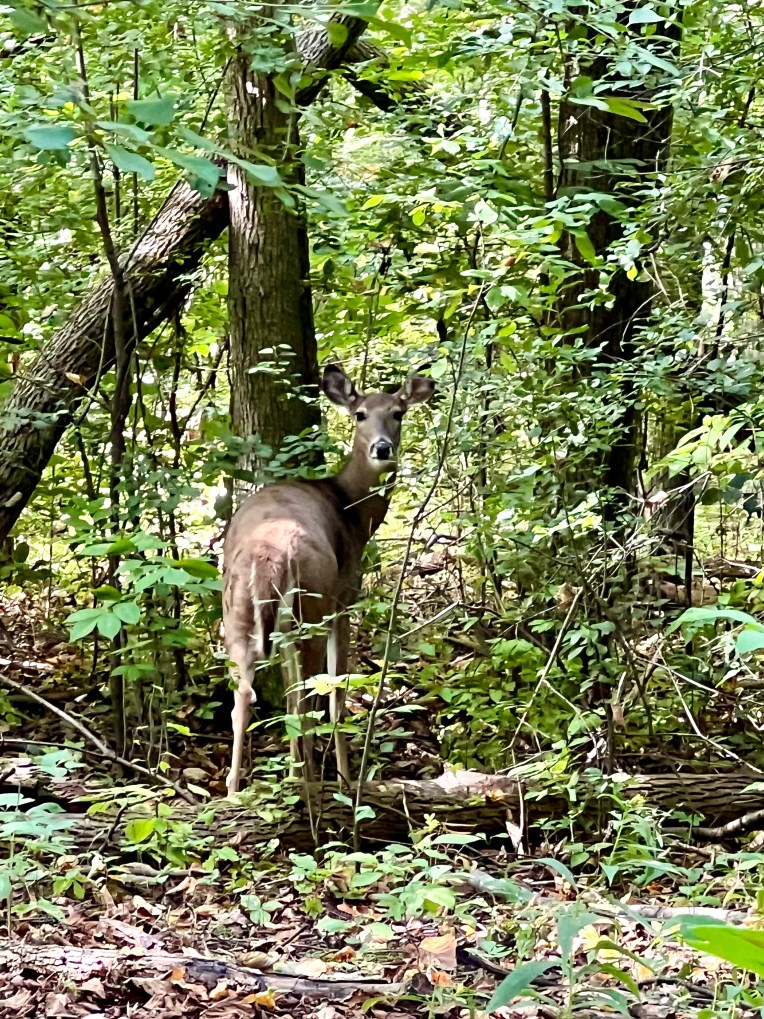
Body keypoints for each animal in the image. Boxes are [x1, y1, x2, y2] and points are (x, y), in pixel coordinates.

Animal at [222, 363, 435, 794]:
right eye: (360, 415)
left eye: (398, 412)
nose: (382, 448)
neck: (351, 509)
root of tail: (267, 556)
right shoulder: (344, 598)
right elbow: (337, 694)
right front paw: (344, 776)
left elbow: (289, 695)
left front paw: (292, 771)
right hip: (314, 604)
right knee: (307, 698)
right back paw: (310, 786)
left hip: (238, 610)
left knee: (246, 697)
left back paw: (236, 792)